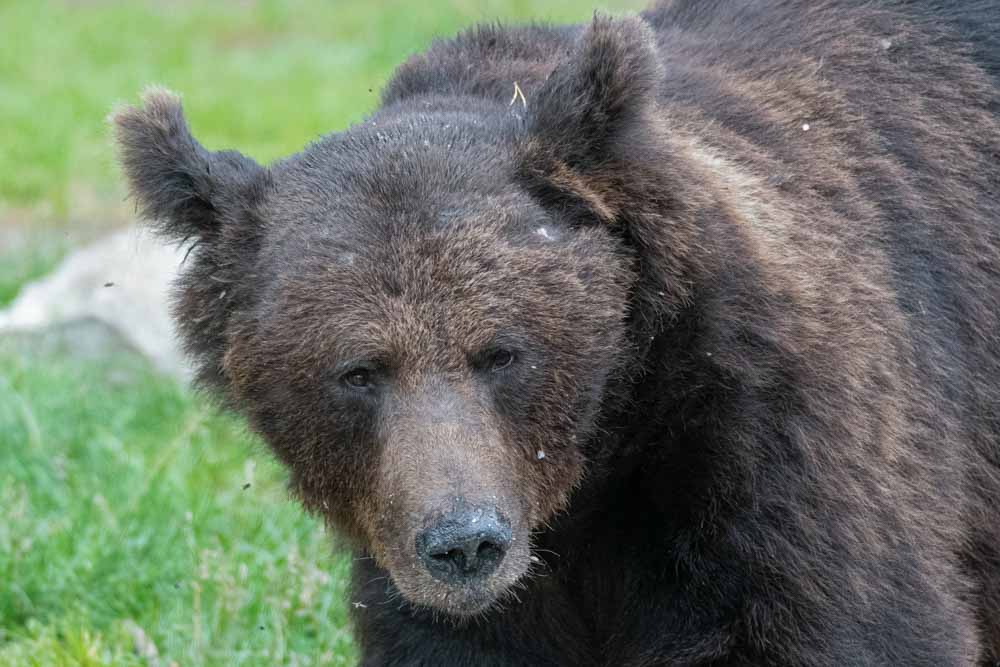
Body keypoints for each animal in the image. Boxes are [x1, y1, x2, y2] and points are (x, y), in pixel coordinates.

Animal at [113, 0, 1000, 664]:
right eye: (357, 371)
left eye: (503, 351)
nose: (463, 542)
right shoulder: (440, 586)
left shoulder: (771, 454)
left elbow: (846, 623)